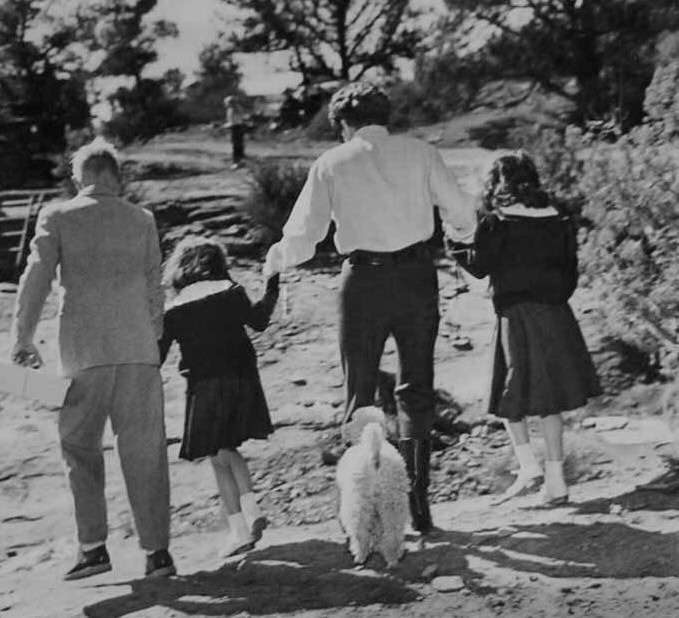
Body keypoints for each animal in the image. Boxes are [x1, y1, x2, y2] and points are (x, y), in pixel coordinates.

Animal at [338, 404, 412, 568]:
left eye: (352, 419)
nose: (343, 428)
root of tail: (375, 454)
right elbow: (378, 528)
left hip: (359, 503)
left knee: (360, 531)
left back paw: (360, 555)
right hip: (392, 502)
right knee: (393, 533)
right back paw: (393, 558)